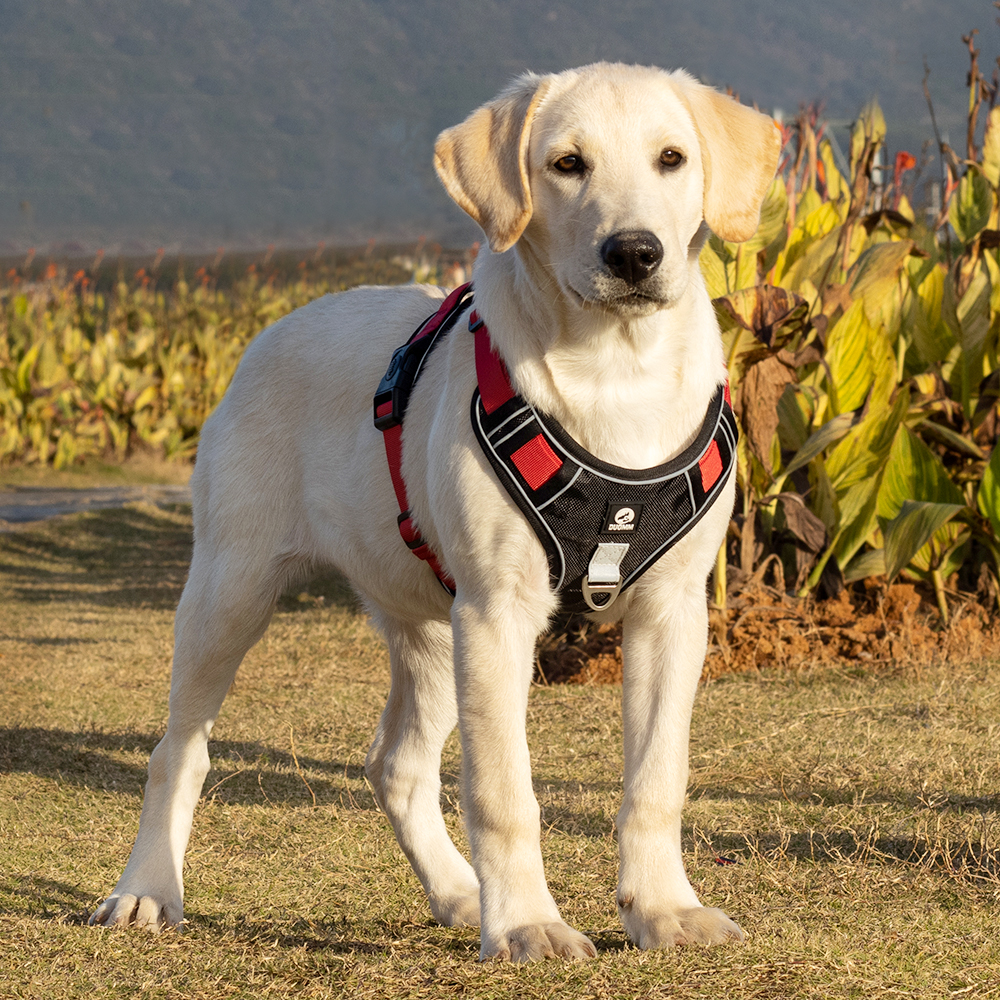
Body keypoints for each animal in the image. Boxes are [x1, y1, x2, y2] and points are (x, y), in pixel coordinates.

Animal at [90, 64, 780, 960]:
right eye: (566, 164)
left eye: (673, 158)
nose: (633, 252)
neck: (614, 373)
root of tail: (279, 324)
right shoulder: (499, 613)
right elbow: (503, 792)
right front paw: (525, 923)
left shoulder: (670, 611)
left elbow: (657, 778)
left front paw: (662, 908)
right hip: (232, 589)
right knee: (178, 750)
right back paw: (146, 888)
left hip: (432, 625)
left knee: (397, 763)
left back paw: (458, 891)